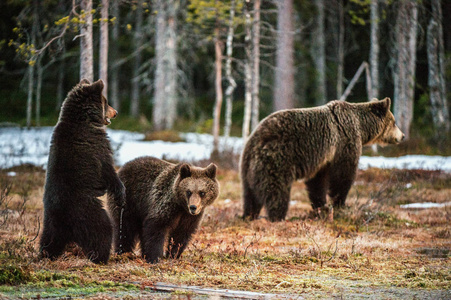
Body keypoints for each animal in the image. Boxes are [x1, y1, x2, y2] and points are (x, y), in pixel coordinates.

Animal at [39, 78, 125, 264]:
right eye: (106, 101)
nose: (116, 112)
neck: (85, 119)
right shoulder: (97, 146)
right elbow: (108, 170)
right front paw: (121, 192)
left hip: (50, 223)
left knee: (48, 240)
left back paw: (45, 255)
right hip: (88, 213)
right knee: (102, 232)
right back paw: (102, 257)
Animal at [242, 97, 404, 221]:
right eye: (395, 122)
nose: (402, 136)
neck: (361, 127)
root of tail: (255, 141)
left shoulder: (323, 159)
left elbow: (317, 181)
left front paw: (321, 205)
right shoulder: (345, 142)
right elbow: (343, 175)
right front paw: (340, 204)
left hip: (248, 168)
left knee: (250, 194)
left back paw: (249, 215)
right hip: (278, 158)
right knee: (277, 190)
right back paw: (278, 217)